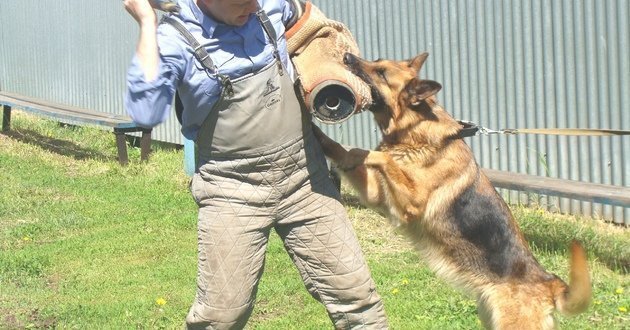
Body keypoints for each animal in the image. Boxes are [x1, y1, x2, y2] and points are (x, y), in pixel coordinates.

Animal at [314, 52, 596, 328]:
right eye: (375, 61)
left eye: (382, 73)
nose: (347, 56)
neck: (416, 131)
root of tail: (549, 281)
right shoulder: (379, 198)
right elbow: (344, 149)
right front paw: (319, 136)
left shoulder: (410, 205)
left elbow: (377, 156)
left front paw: (356, 155)